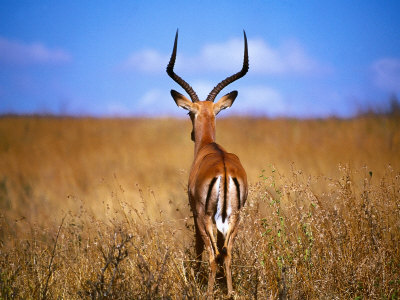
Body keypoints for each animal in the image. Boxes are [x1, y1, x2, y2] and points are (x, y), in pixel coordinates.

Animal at [166, 29, 248, 296]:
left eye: (189, 112)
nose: (192, 134)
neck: (209, 147)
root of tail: (223, 169)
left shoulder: (195, 212)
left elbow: (199, 248)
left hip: (206, 218)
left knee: (213, 254)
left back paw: (209, 292)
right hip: (235, 218)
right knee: (227, 253)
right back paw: (230, 292)